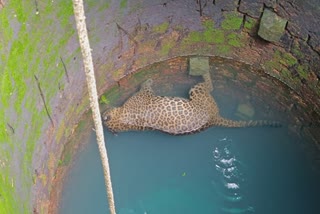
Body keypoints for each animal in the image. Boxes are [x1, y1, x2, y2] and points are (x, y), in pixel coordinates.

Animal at [103, 72, 280, 135]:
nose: (103, 112)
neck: (123, 119)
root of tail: (215, 117)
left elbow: (145, 85)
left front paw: (148, 79)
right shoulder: (145, 95)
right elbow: (146, 86)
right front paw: (149, 79)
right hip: (198, 92)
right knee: (209, 85)